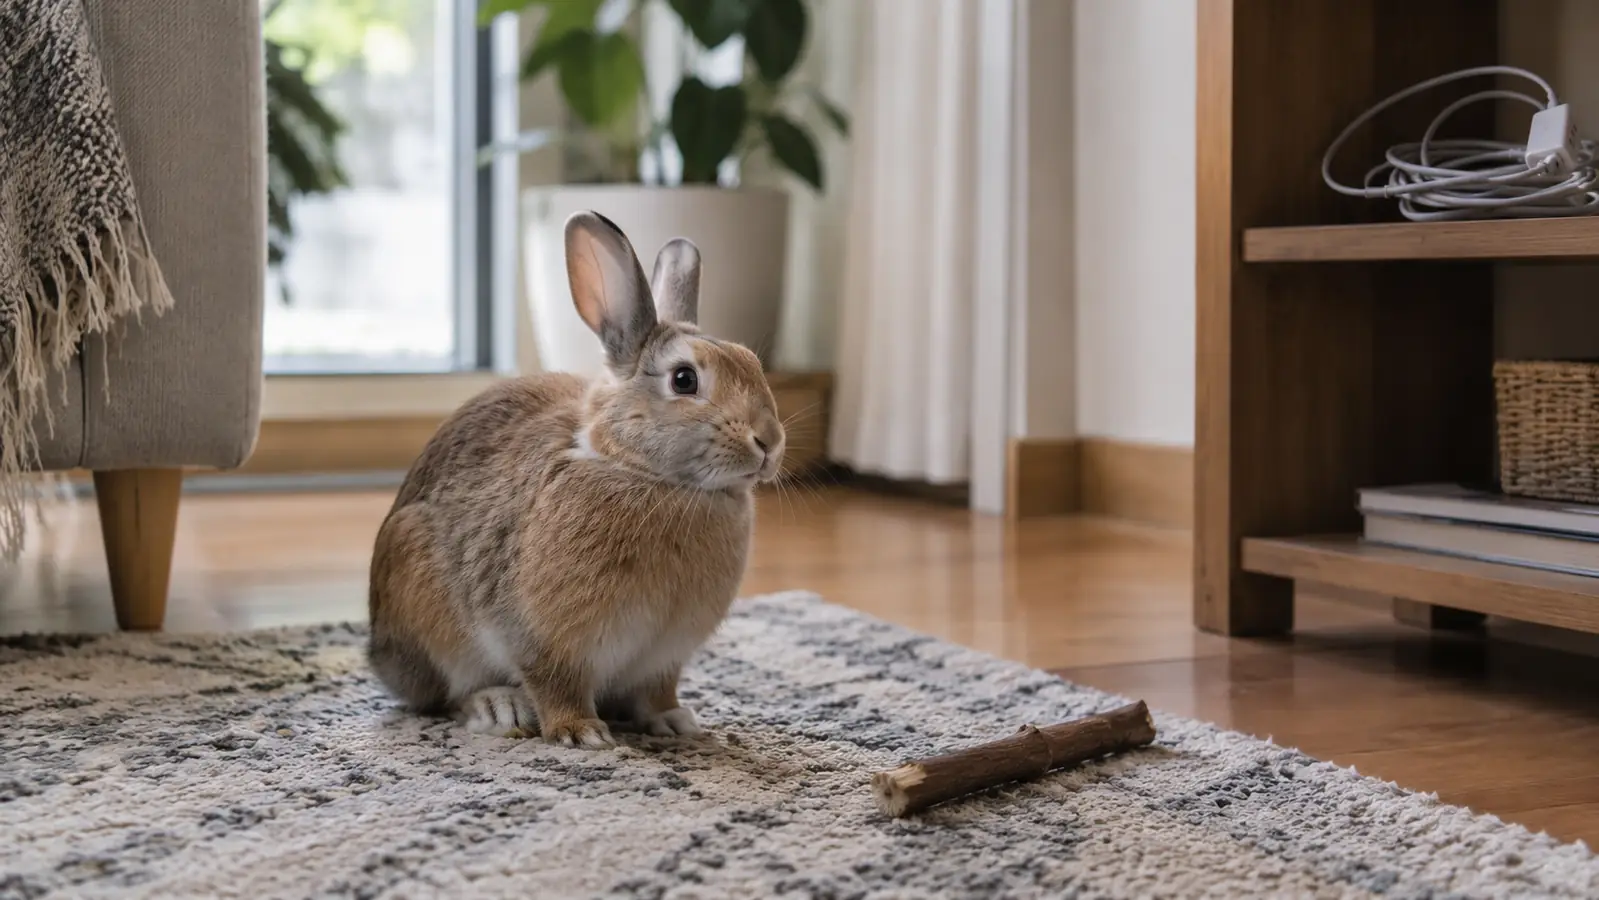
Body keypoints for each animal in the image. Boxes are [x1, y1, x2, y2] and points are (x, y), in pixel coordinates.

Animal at [367, 210, 786, 748]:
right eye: (684, 380)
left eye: (753, 364)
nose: (769, 442)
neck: (638, 469)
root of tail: (381, 658)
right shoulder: (546, 640)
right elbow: (555, 683)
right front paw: (581, 733)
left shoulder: (664, 656)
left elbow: (657, 692)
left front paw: (676, 723)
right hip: (427, 610)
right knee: (447, 695)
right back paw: (500, 707)